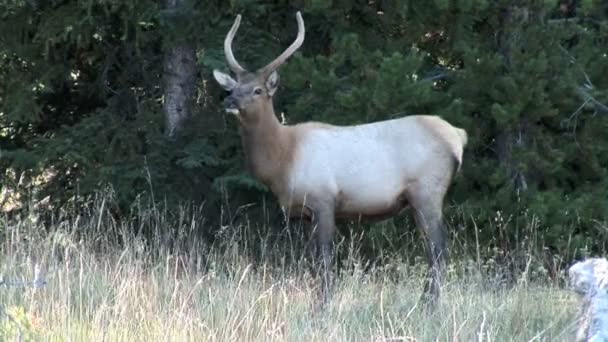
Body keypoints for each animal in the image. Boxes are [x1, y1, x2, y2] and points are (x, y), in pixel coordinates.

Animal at [214, 12, 470, 304]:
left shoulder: (323, 200)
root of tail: (458, 136)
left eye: (257, 90)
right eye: (233, 86)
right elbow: (313, 262)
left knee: (437, 247)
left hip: (427, 191)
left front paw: (324, 305)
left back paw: (430, 303)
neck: (282, 161)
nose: (229, 100)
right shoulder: (305, 214)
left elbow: (326, 260)